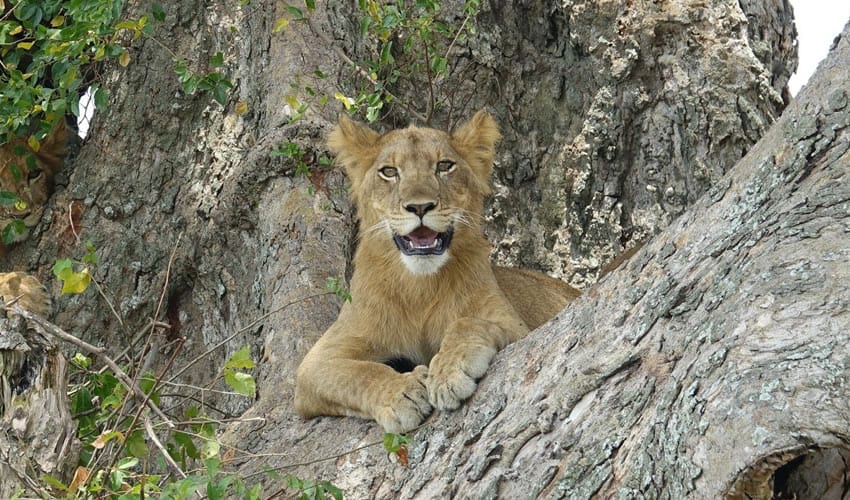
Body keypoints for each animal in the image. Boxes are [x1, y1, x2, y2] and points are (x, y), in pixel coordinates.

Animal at [294, 111, 580, 433]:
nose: (420, 207)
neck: (419, 286)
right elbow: (357, 373)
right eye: (389, 171)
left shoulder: (517, 326)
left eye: (444, 166)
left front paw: (448, 372)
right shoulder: (316, 363)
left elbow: (467, 323)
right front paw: (401, 394)